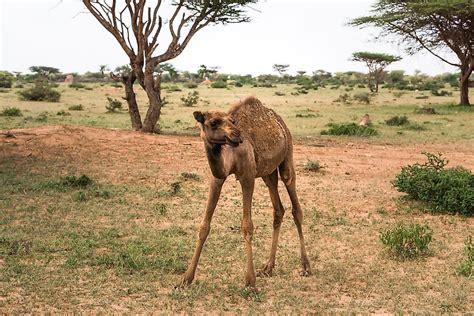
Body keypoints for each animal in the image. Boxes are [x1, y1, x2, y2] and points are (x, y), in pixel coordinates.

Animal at [179, 95, 312, 288]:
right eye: (213, 122)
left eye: (232, 121)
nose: (237, 135)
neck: (230, 155)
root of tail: (280, 122)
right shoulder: (217, 178)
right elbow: (204, 226)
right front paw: (186, 279)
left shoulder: (247, 177)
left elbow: (247, 226)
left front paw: (250, 281)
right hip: (267, 172)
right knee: (278, 209)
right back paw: (267, 268)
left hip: (287, 157)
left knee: (296, 206)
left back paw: (306, 266)